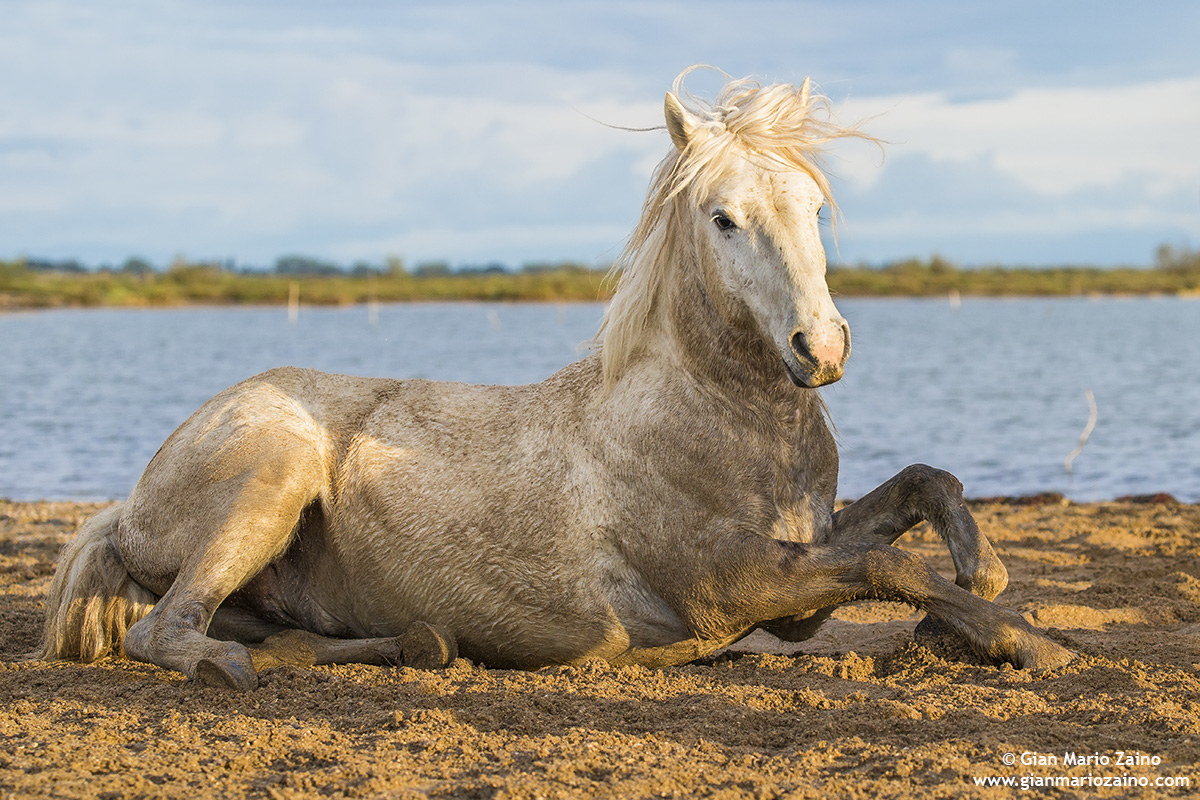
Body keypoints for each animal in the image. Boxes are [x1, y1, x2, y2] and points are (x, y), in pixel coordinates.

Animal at [40, 68, 1073, 689]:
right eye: (724, 218)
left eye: (815, 206)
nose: (820, 350)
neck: (708, 421)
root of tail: (127, 507)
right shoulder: (732, 588)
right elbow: (889, 564)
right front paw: (1026, 637)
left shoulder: (801, 573)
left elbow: (919, 489)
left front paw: (986, 569)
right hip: (271, 476)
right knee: (167, 632)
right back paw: (241, 671)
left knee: (285, 635)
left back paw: (423, 643)